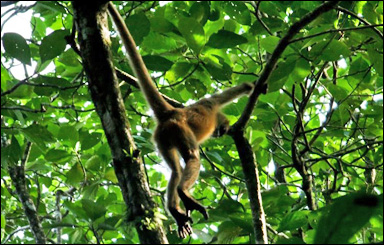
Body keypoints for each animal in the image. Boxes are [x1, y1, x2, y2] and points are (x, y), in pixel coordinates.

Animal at [106, 2, 264, 238]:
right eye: (220, 129)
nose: (220, 132)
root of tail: (172, 113)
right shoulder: (210, 103)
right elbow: (236, 91)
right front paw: (254, 86)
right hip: (179, 129)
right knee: (192, 156)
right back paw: (183, 193)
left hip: (162, 138)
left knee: (175, 170)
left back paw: (175, 210)